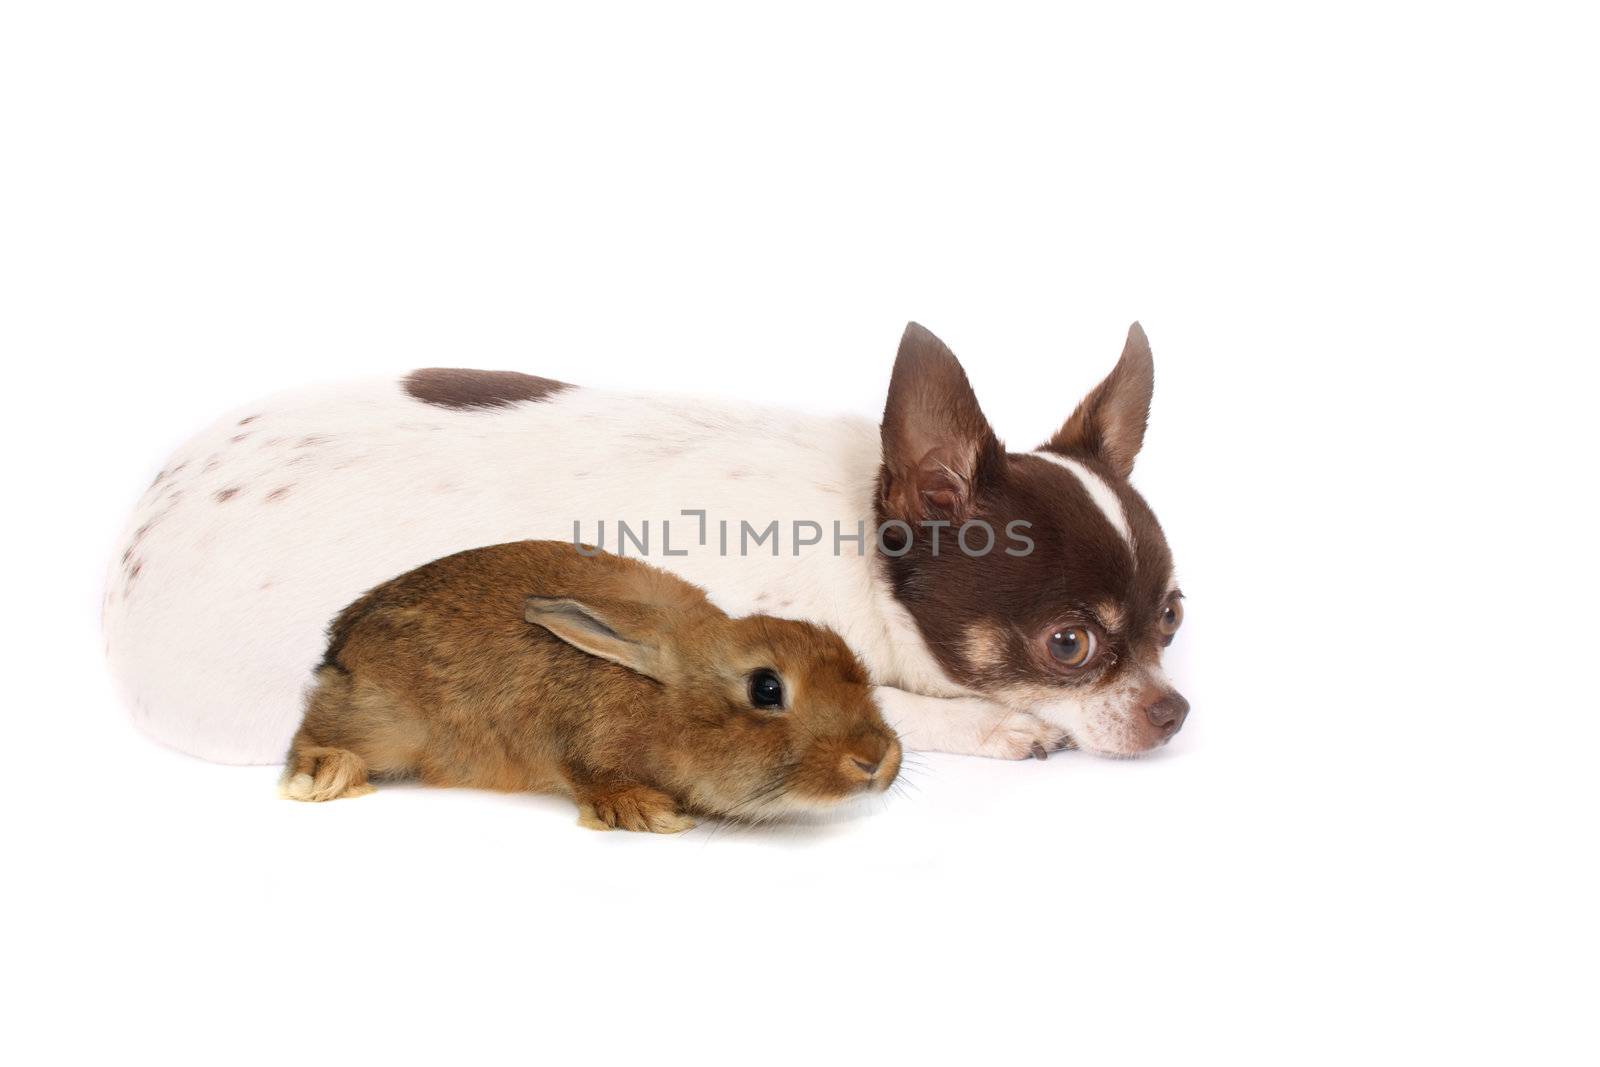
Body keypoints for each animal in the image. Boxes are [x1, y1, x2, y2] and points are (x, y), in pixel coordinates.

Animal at [96, 321, 1177, 764]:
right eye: (1069, 644)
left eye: (1172, 618)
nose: (1174, 711)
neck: (864, 544)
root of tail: (133, 539)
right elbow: (891, 706)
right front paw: (993, 724)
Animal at [284, 543, 902, 831]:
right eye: (767, 689)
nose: (874, 760)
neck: (662, 699)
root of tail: (340, 644)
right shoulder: (582, 743)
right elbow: (591, 778)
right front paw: (649, 814)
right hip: (382, 721)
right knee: (311, 736)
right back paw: (325, 776)